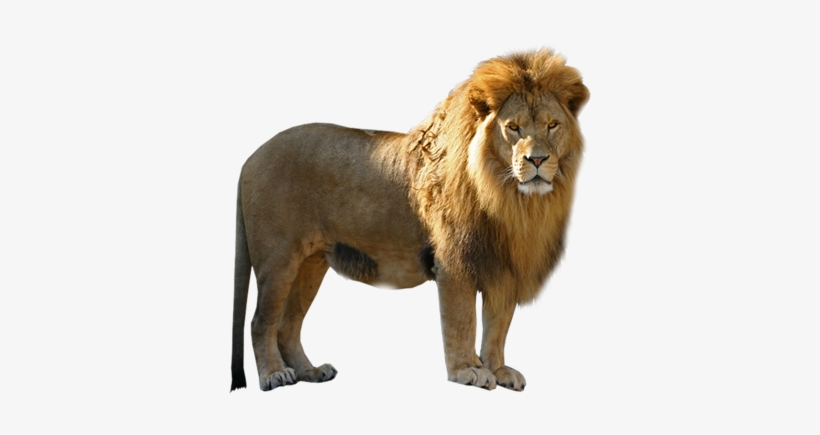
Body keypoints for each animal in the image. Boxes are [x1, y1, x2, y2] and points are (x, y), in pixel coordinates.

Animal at [230, 49, 589, 392]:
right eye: (513, 127)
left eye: (552, 125)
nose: (537, 159)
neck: (511, 200)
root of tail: (251, 156)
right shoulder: (455, 262)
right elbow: (462, 320)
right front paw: (468, 370)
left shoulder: (504, 266)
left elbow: (498, 326)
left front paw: (498, 371)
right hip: (278, 259)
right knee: (261, 322)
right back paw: (275, 375)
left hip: (311, 264)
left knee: (288, 325)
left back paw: (310, 371)